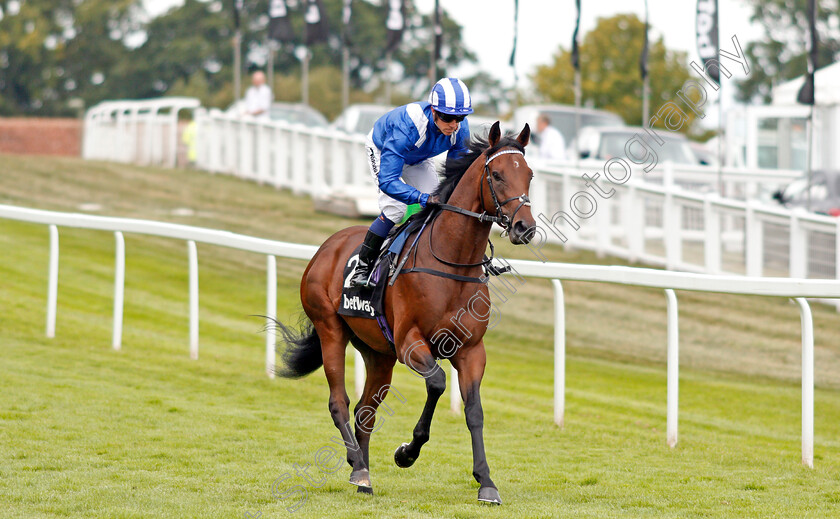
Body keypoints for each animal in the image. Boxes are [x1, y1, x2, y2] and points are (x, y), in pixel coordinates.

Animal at [278, 121, 540, 504]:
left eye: (530, 175)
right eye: (497, 175)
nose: (525, 228)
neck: (451, 263)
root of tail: (327, 247)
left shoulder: (471, 350)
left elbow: (474, 411)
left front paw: (486, 482)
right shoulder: (410, 343)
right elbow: (437, 382)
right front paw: (407, 452)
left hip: (378, 353)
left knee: (364, 411)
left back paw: (362, 473)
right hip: (331, 329)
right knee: (339, 402)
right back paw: (359, 467)